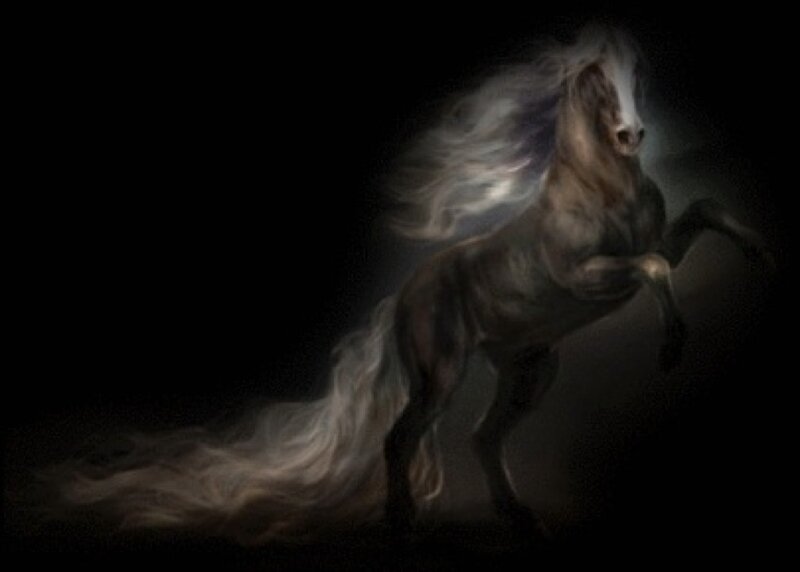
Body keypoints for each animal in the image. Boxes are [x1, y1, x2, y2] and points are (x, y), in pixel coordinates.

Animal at [44, 25, 771, 543]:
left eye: (637, 72)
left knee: (482, 437)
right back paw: (403, 523)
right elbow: (656, 269)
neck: (602, 188)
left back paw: (520, 518)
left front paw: (762, 258)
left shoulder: (651, 243)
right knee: (402, 438)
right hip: (441, 375)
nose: (631, 133)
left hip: (531, 370)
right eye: (596, 77)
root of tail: (404, 294)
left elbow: (699, 215)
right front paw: (672, 349)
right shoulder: (587, 277)